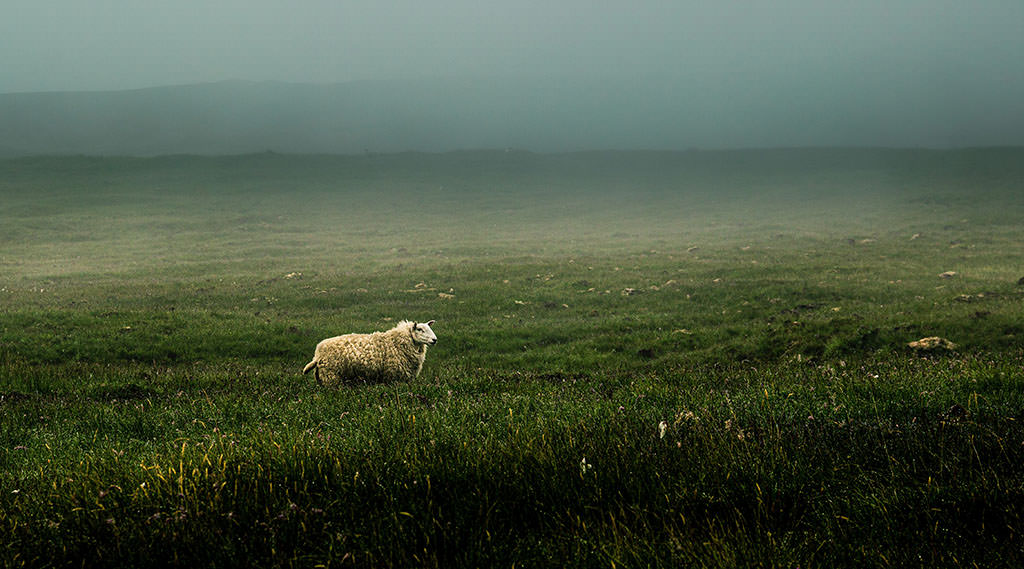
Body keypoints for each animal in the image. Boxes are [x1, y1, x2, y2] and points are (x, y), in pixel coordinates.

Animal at [299, 319, 436, 386]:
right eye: (420, 329)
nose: (434, 340)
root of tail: (317, 354)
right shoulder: (393, 377)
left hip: (323, 378)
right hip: (331, 376)